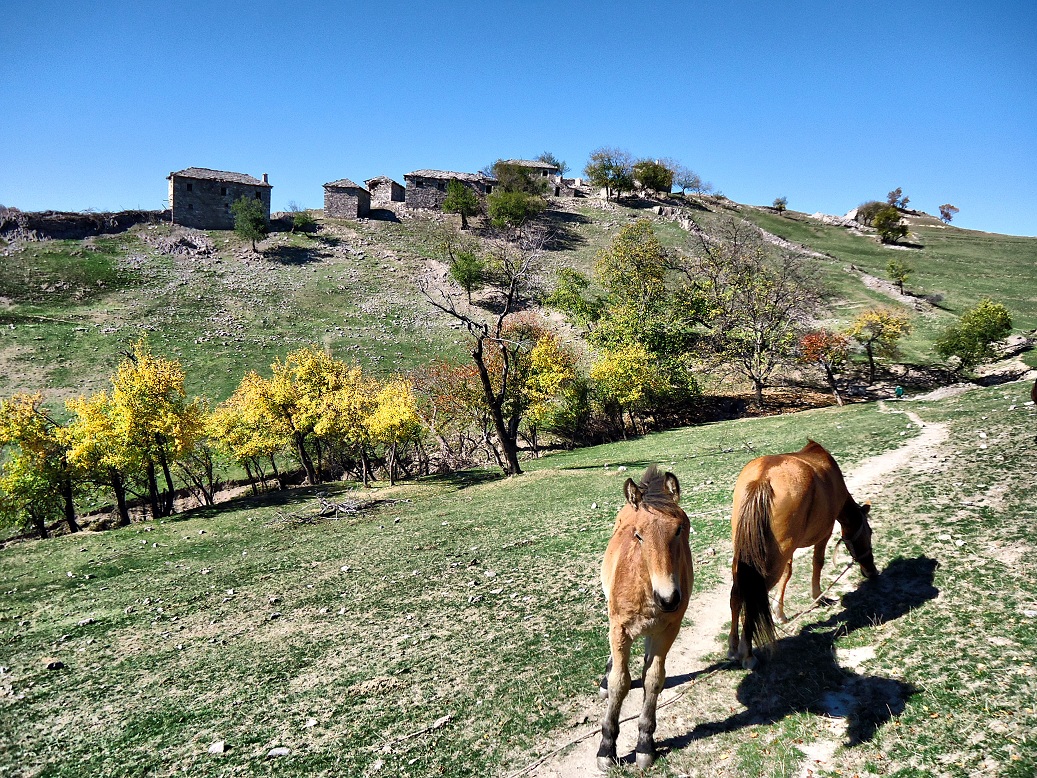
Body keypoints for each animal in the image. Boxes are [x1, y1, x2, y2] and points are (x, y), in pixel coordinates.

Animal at [597, 466, 692, 771]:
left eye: (680, 529)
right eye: (638, 535)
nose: (668, 598)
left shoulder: (667, 630)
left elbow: (653, 679)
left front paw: (645, 744)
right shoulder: (620, 628)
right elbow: (620, 682)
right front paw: (606, 748)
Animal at [725, 441, 879, 672]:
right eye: (869, 533)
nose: (872, 571)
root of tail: (763, 477)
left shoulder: (787, 551)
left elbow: (787, 575)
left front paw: (780, 613)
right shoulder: (824, 534)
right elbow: (818, 563)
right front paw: (818, 596)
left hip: (746, 553)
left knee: (737, 594)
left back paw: (734, 647)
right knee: (752, 596)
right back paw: (748, 654)